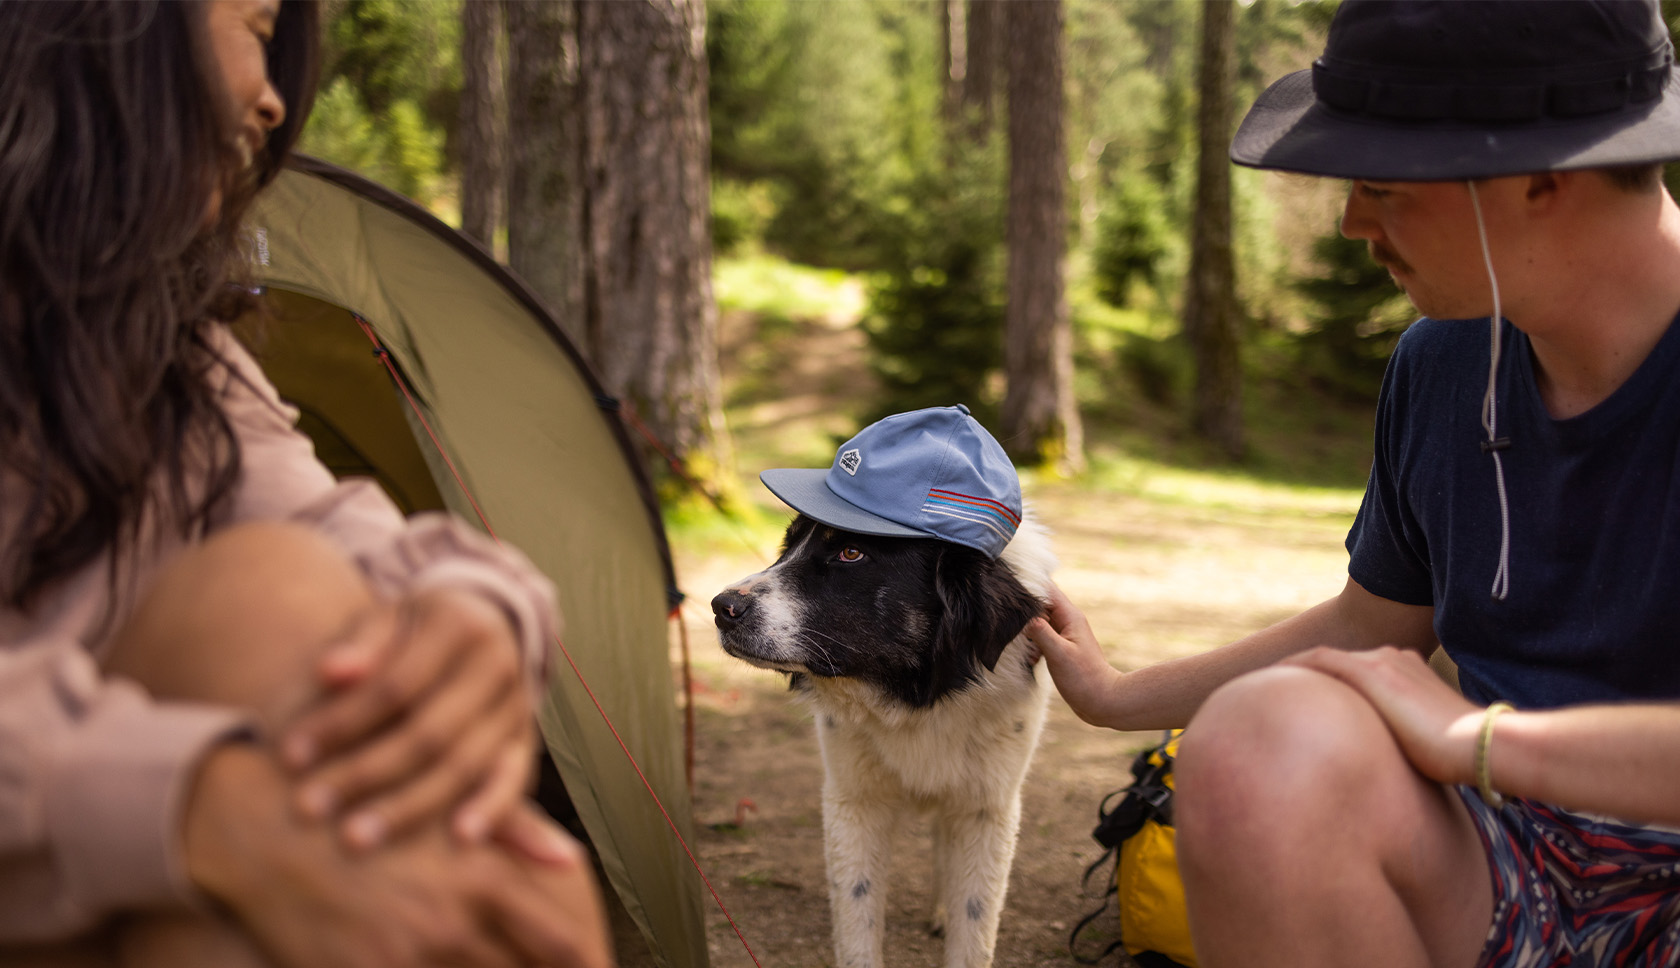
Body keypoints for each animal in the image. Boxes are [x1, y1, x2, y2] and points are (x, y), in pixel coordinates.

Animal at [708, 405, 1048, 968]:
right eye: (788, 543)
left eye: (850, 552)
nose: (721, 608)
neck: (913, 698)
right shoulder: (853, 800)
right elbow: (858, 920)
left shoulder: (987, 808)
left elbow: (974, 926)